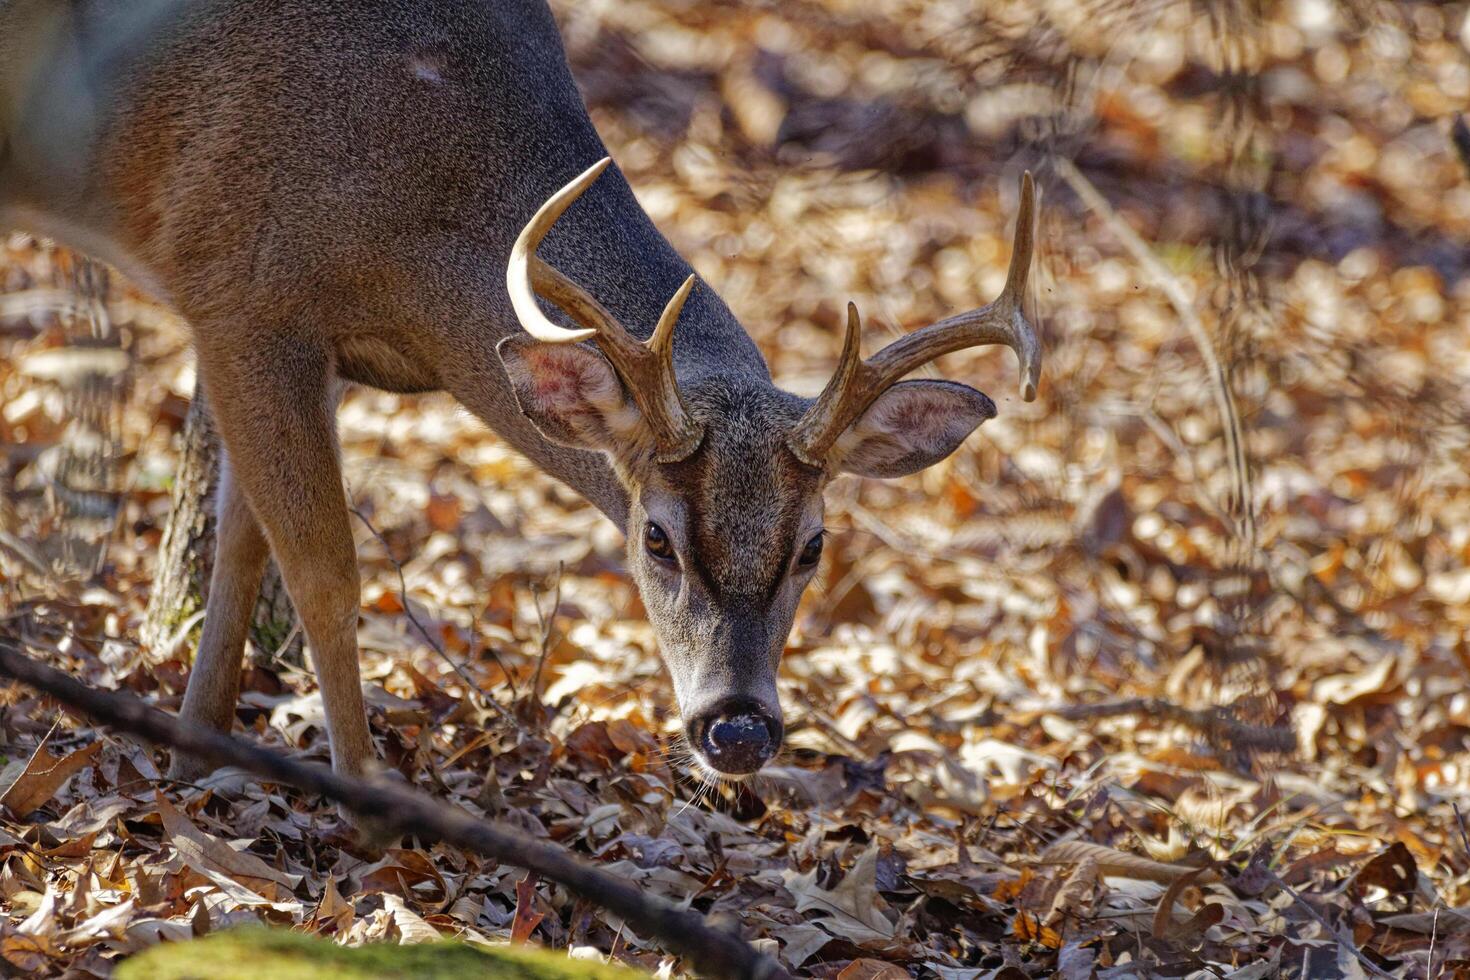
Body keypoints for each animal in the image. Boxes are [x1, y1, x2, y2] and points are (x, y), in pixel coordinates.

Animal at [0, 0, 1040, 781]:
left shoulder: (292, 344)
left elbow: (240, 550)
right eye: (655, 538)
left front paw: (193, 751)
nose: (738, 730)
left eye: (813, 547)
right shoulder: (243, 291)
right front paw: (366, 795)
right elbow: (326, 574)